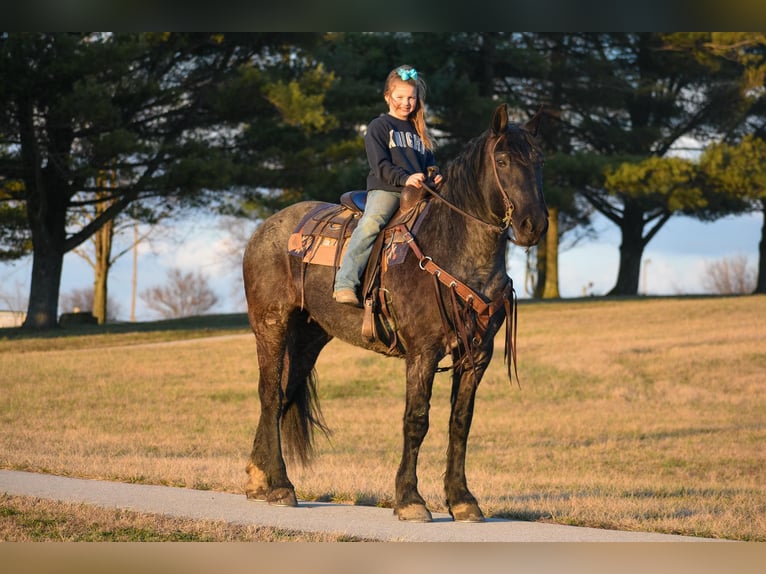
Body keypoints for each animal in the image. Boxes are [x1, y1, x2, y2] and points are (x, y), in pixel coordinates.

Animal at [243, 103, 548, 528]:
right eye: (502, 160)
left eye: (539, 160)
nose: (533, 225)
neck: (451, 245)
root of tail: (264, 230)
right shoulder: (422, 352)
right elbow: (416, 420)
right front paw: (409, 499)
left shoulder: (477, 356)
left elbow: (460, 422)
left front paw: (463, 500)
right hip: (270, 326)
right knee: (270, 395)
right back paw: (281, 487)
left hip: (308, 338)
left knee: (283, 395)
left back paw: (260, 479)